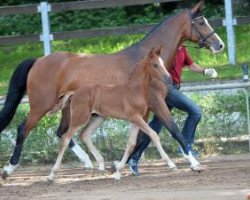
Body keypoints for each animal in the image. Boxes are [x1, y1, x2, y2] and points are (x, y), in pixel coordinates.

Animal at [47, 47, 176, 180]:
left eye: (163, 63)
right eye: (155, 64)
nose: (169, 79)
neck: (134, 90)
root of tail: (75, 92)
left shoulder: (136, 121)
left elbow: (131, 144)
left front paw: (118, 172)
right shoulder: (135, 117)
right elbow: (153, 134)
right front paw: (171, 164)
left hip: (97, 118)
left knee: (84, 134)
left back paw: (100, 165)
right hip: (79, 118)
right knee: (65, 139)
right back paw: (52, 175)